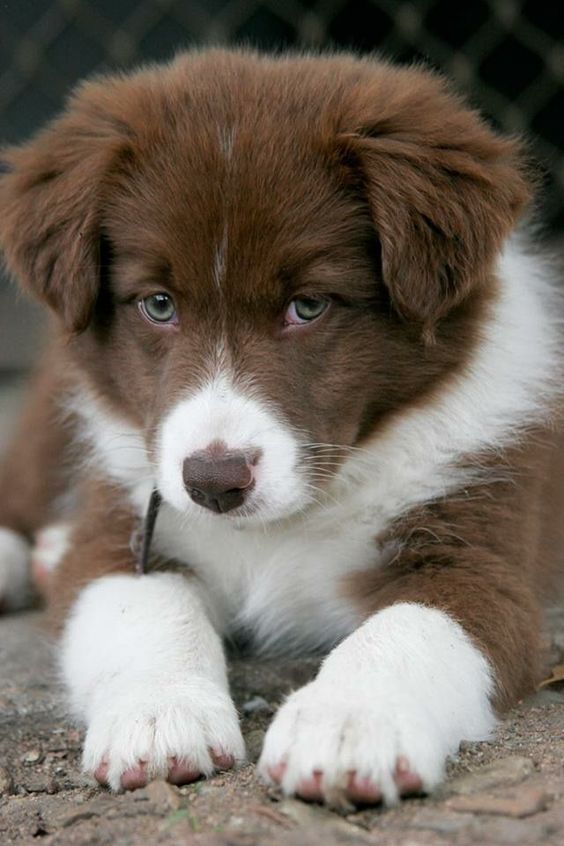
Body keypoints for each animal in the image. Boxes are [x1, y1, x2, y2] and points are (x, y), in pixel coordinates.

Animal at [0, 49, 560, 804]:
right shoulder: (124, 527)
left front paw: (347, 726)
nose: (213, 482)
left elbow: (410, 626)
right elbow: (144, 608)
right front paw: (160, 714)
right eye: (158, 304)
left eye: (309, 305)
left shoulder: (477, 551)